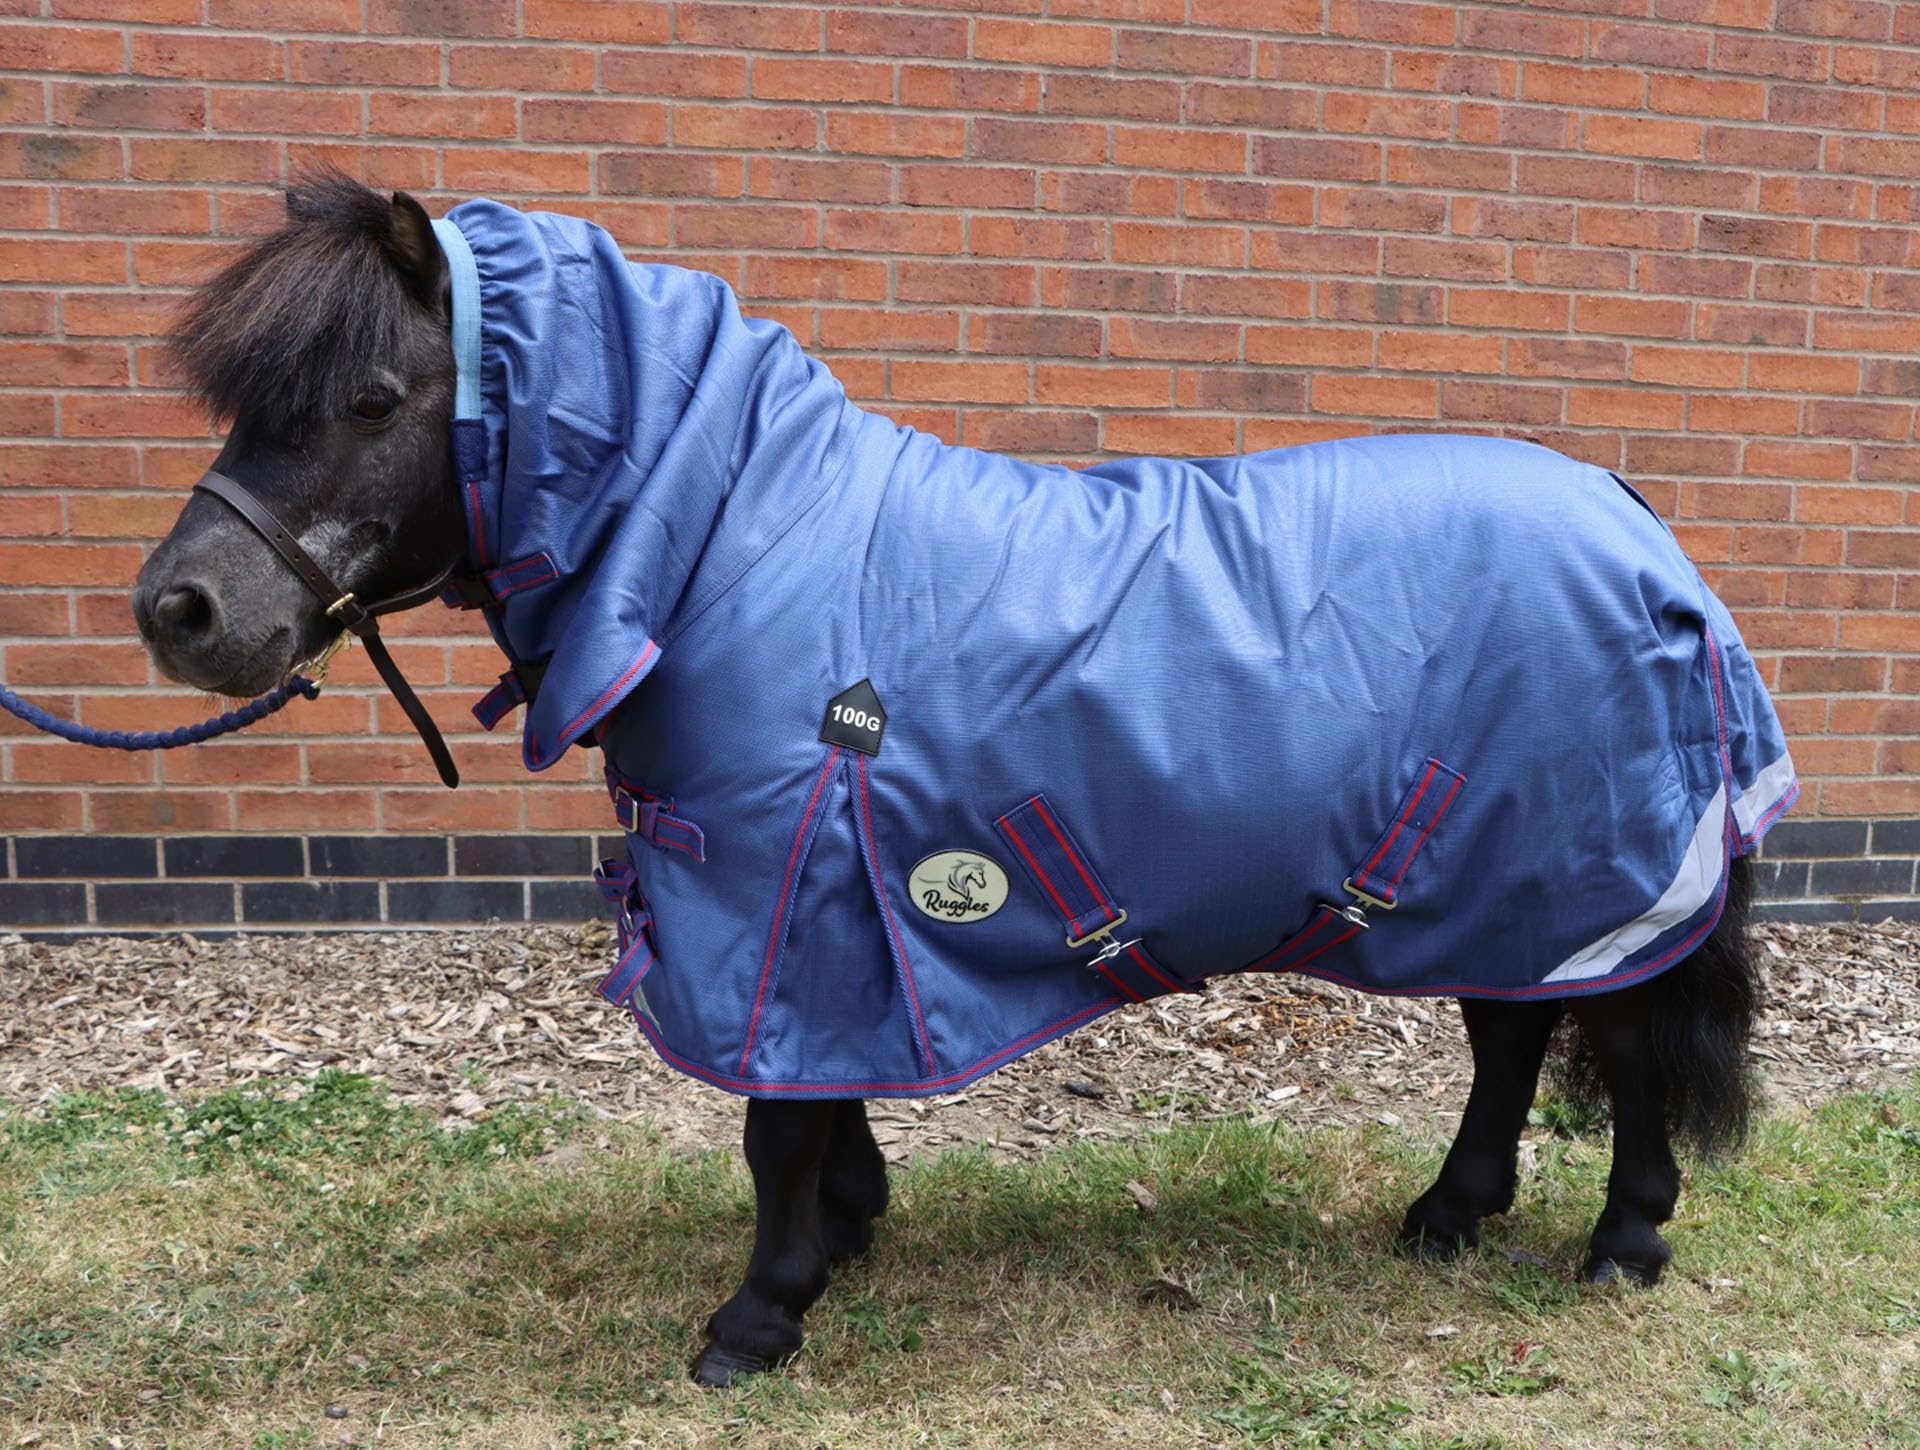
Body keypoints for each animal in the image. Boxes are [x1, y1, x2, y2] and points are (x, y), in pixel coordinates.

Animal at [133, 172, 1788, 1387]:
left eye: (369, 396)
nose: (179, 609)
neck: (732, 543)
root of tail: (1640, 529)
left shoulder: (783, 890)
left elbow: (777, 1116)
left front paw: (758, 1317)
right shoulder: (824, 903)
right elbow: (821, 1091)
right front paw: (845, 1237)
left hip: (1592, 871)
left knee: (1623, 1047)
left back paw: (1622, 1242)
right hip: (1493, 879)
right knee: (1510, 1038)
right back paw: (1448, 1214)